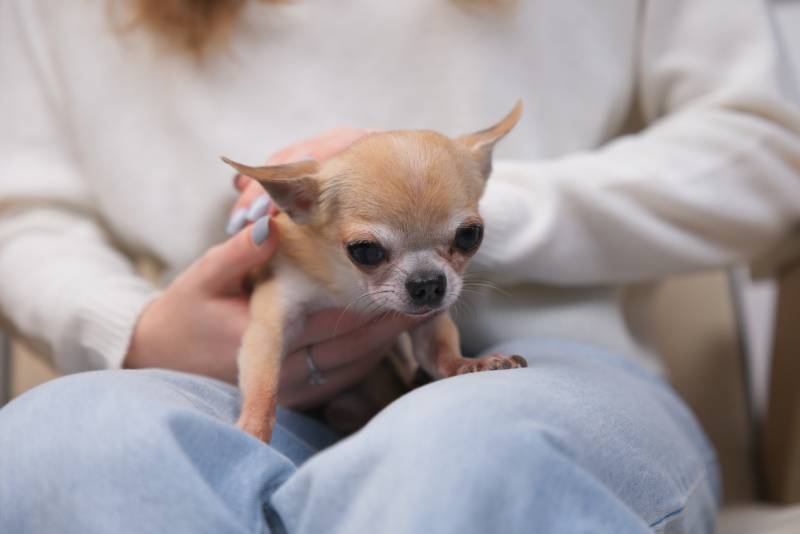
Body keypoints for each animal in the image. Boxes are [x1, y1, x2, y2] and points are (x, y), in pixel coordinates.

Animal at [223, 101, 524, 444]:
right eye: (365, 251)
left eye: (469, 235)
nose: (427, 283)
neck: (350, 284)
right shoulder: (273, 318)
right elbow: (264, 381)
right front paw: (253, 429)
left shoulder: (428, 323)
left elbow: (440, 351)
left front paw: (468, 363)